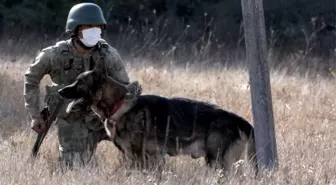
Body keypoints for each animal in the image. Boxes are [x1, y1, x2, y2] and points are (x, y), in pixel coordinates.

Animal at [58, 57, 258, 172]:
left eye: (79, 83)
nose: (60, 91)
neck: (119, 105)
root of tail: (241, 121)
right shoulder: (148, 157)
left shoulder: (138, 156)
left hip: (217, 163)